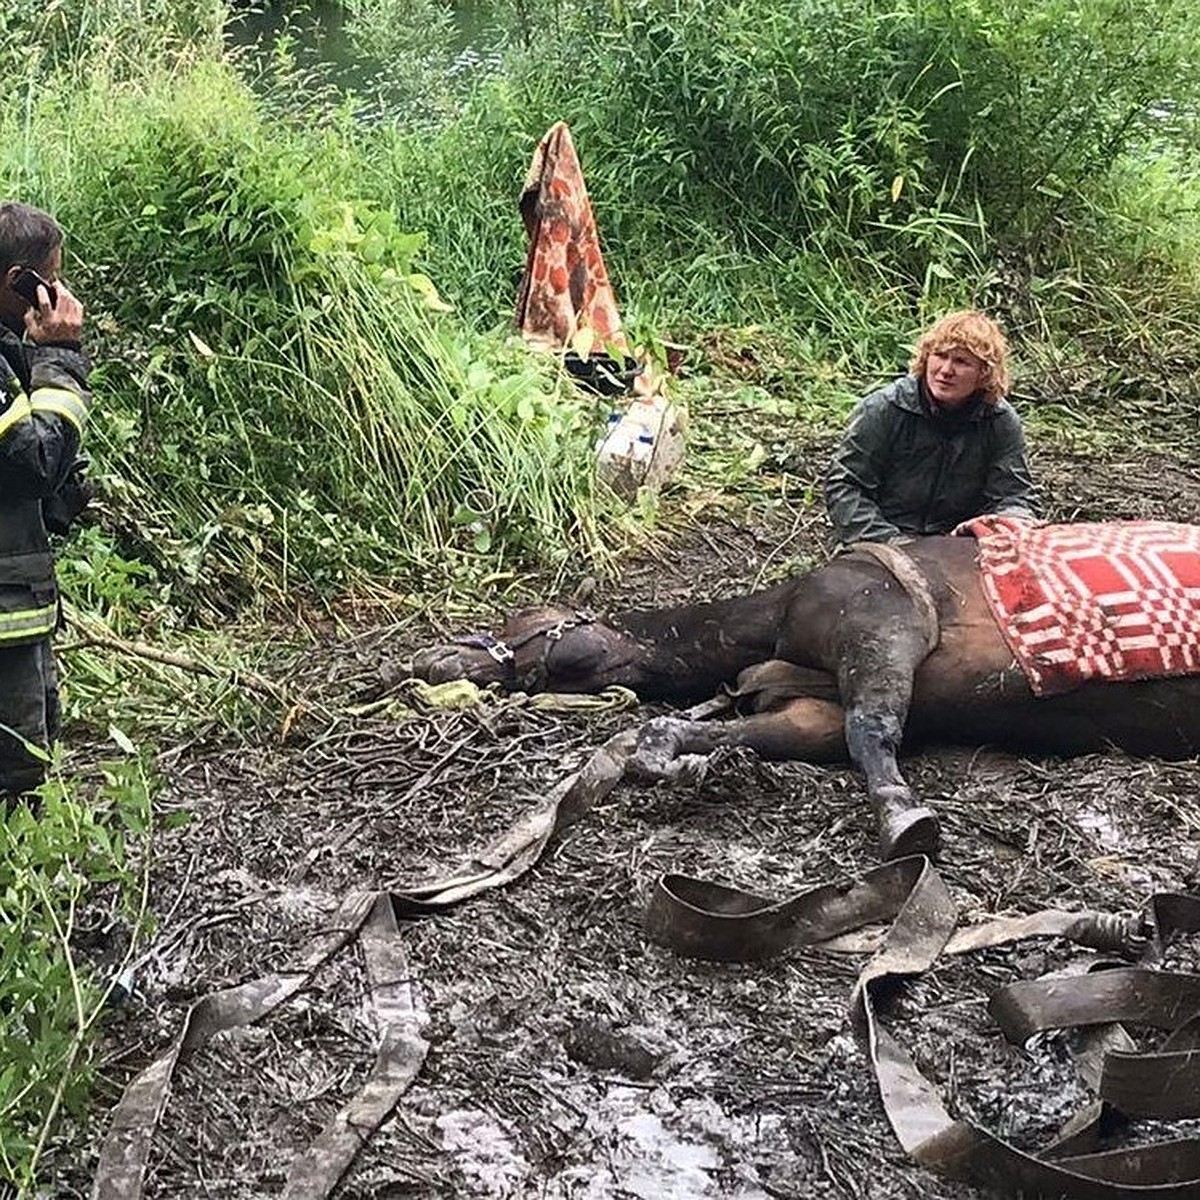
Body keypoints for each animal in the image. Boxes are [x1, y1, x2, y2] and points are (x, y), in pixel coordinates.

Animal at [410, 525, 1200, 864]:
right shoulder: (809, 709)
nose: (421, 661)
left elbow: (871, 733)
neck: (775, 621)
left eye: (526, 625)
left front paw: (903, 817)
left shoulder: (882, 624)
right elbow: (713, 734)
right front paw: (678, 758)